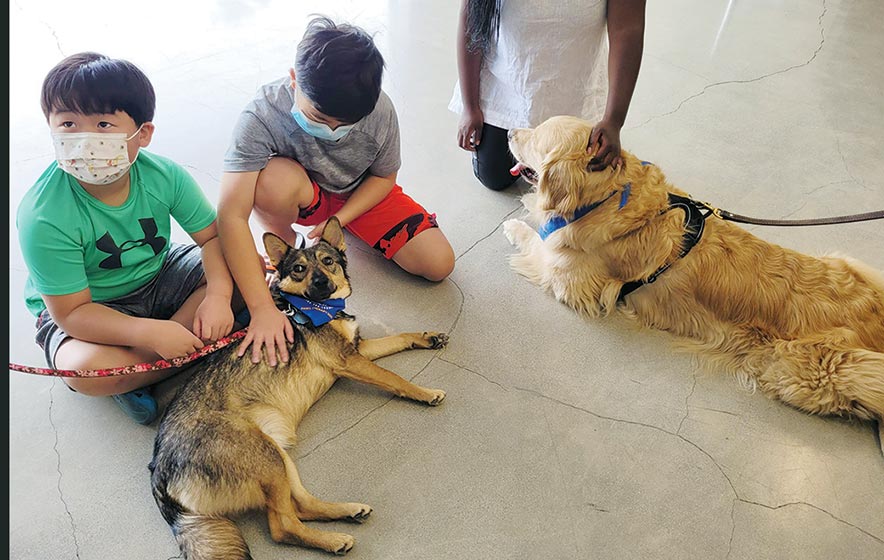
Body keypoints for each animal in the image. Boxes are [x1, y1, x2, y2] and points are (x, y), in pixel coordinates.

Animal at [149, 217, 448, 556]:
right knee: (283, 526)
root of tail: (159, 474)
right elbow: (394, 378)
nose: (320, 283)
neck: (311, 308)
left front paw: (428, 337)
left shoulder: (357, 350)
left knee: (301, 506)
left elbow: (400, 337)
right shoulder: (349, 361)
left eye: (328, 261)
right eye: (299, 269)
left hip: (278, 456)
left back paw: (347, 511)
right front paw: (425, 393)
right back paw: (334, 540)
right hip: (267, 458)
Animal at [504, 115, 884, 420]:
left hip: (812, 367)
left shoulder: (571, 280)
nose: (508, 131)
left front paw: (514, 227)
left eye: (535, 137)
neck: (609, 197)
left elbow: (538, 245)